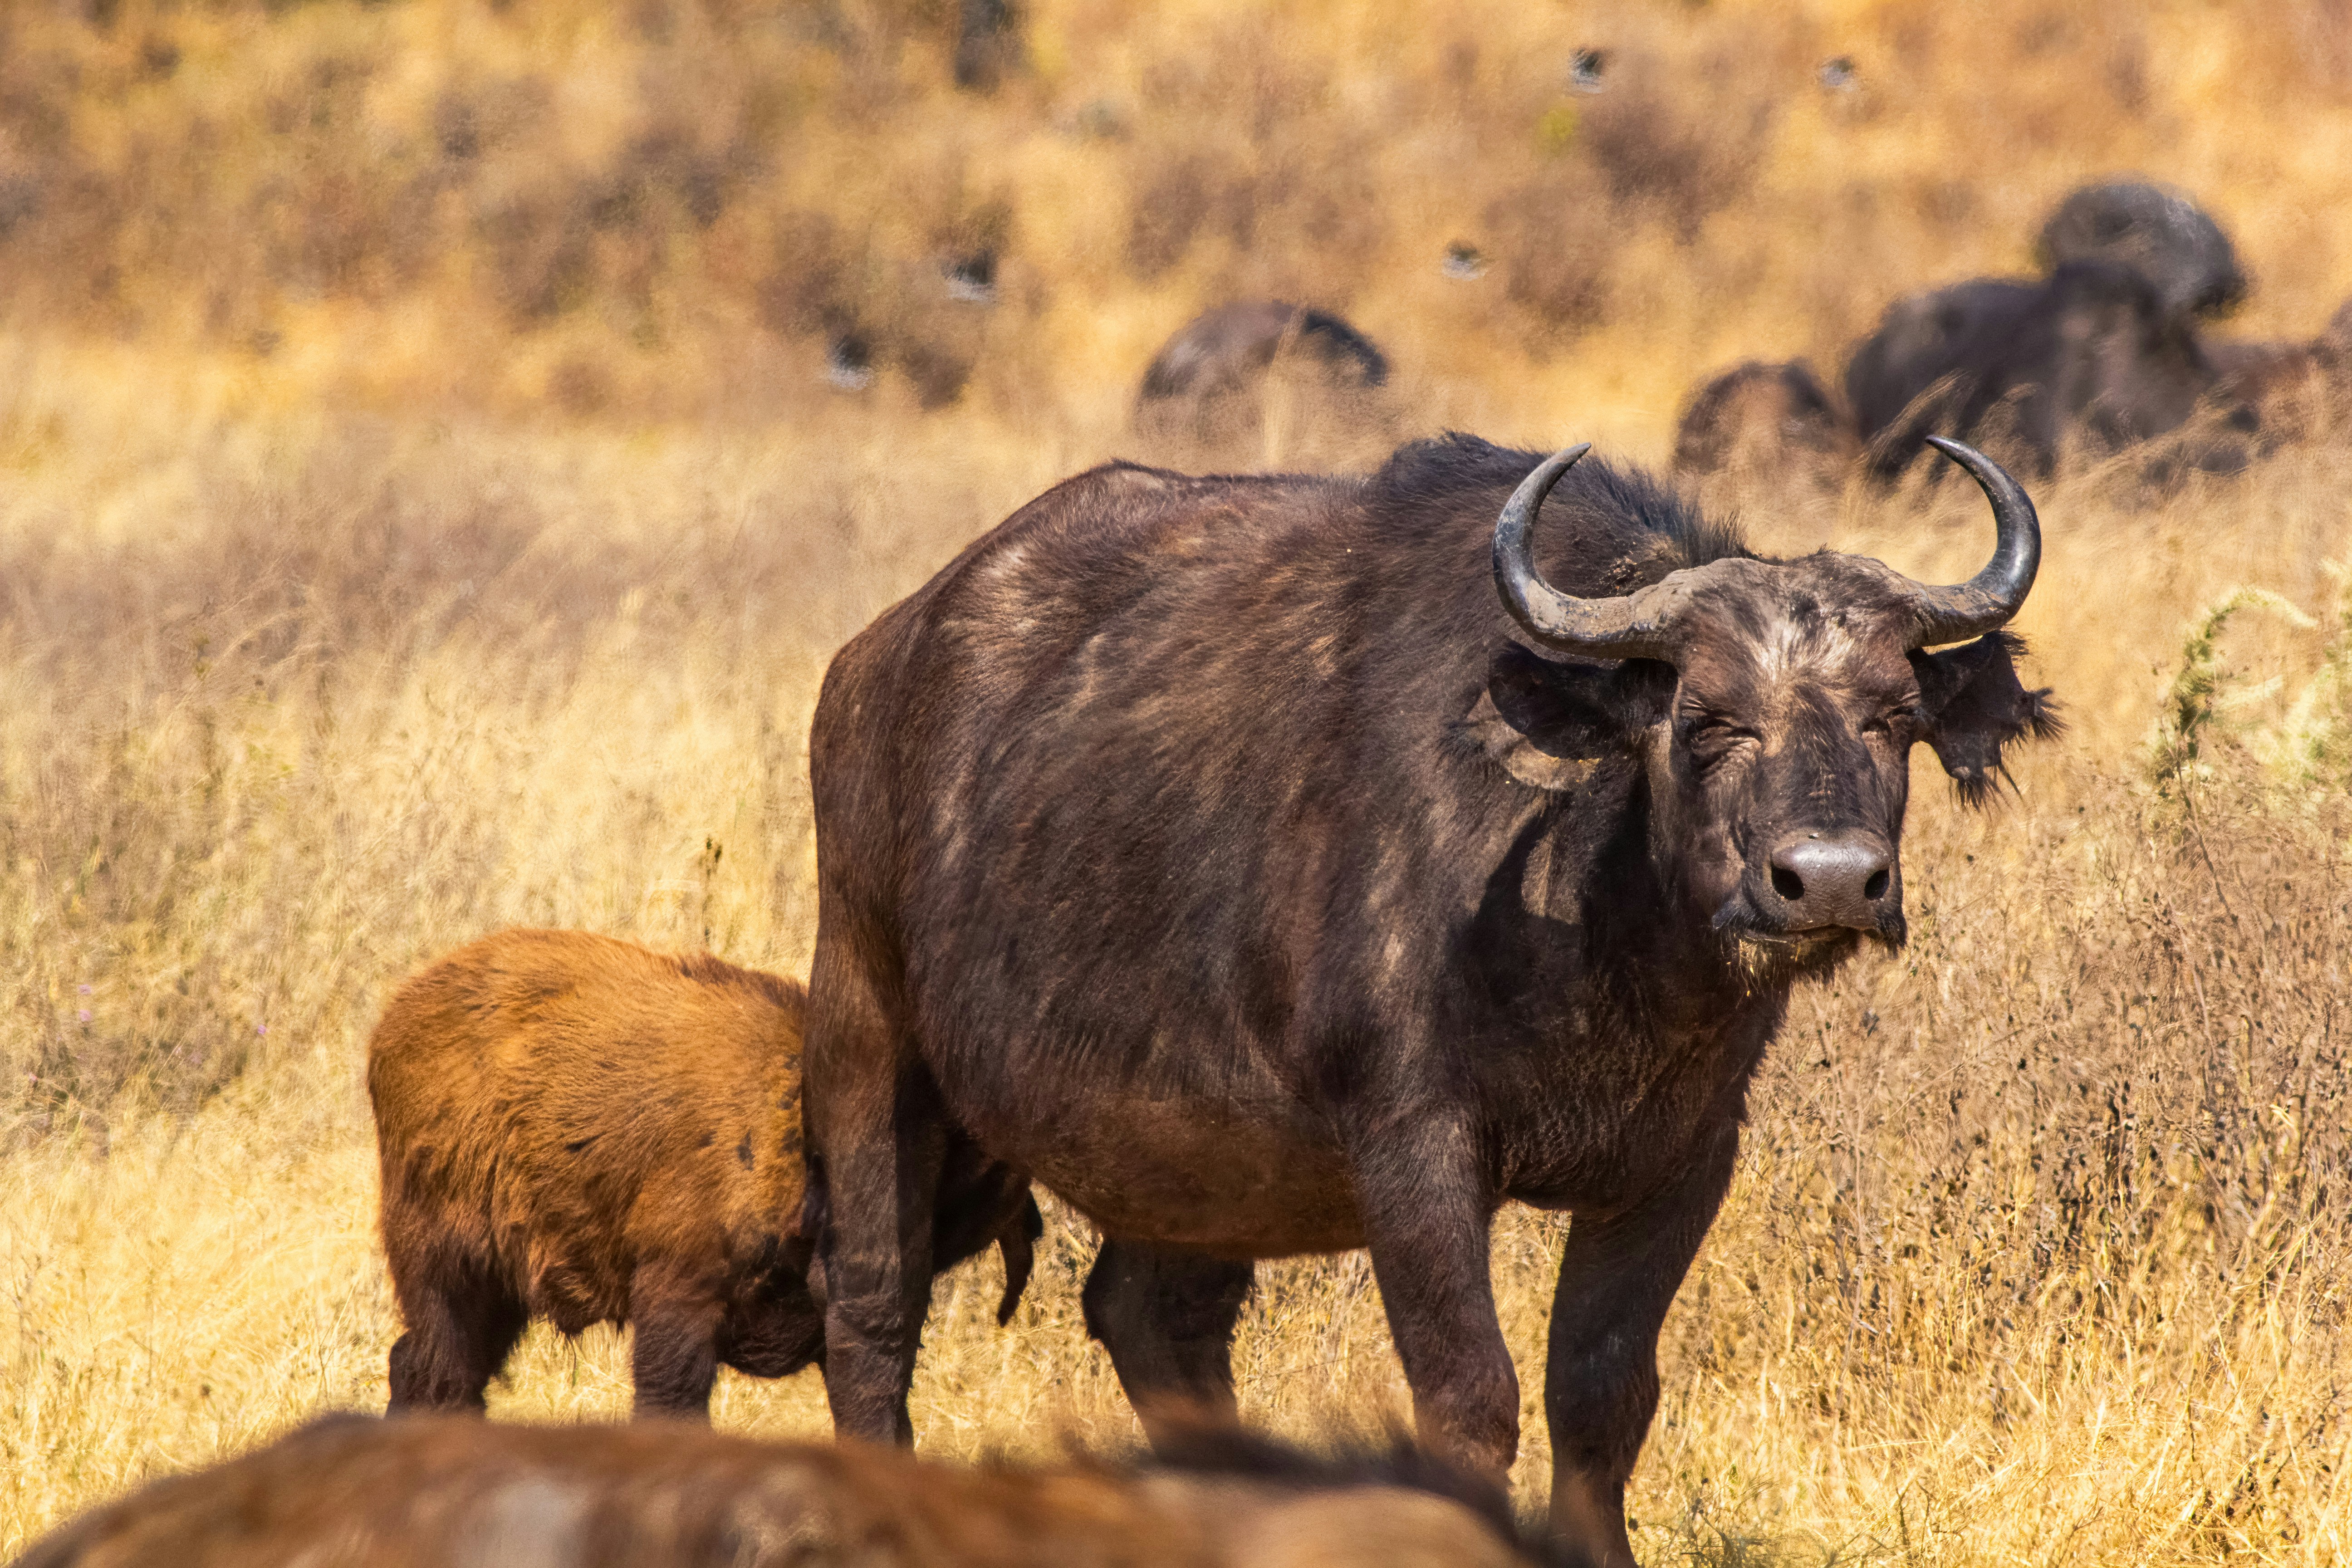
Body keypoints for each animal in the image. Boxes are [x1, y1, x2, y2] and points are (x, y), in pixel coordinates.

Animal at [800, 430, 2056, 1568]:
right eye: (1705, 720)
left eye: (1892, 716)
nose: (1832, 878)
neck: (1591, 934)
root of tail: (879, 658)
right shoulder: (1413, 1149)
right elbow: (1469, 1393)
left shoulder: (1683, 1158)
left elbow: (1601, 1390)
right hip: (862, 1023)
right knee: (870, 1310)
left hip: (1188, 1161)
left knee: (1151, 1319)